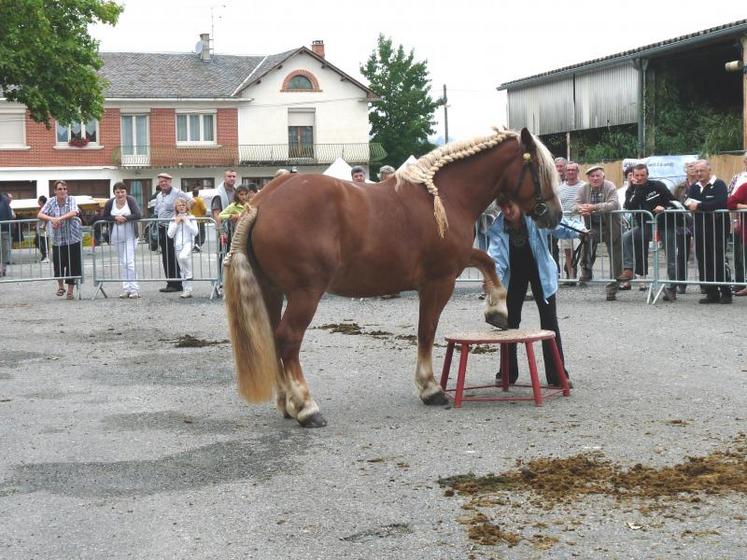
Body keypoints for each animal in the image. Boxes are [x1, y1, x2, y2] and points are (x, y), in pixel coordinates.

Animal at [222, 127, 560, 426]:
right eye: (540, 168)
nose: (554, 215)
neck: (447, 195)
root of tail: (262, 202)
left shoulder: (457, 261)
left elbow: (487, 261)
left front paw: (497, 310)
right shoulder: (440, 280)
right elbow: (426, 330)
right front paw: (430, 388)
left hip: (272, 291)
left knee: (273, 337)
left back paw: (286, 403)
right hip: (305, 294)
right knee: (288, 339)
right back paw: (306, 407)